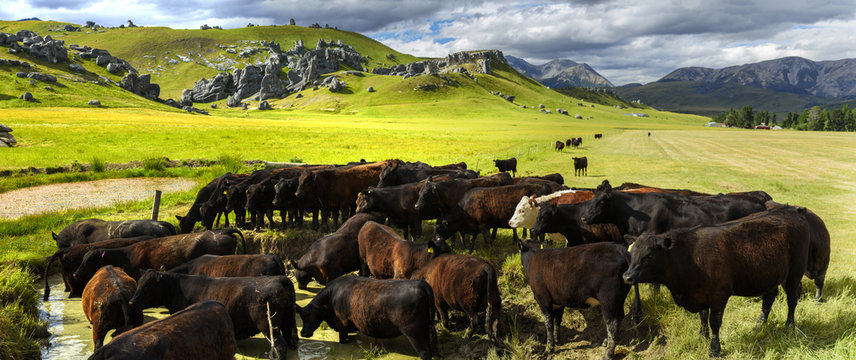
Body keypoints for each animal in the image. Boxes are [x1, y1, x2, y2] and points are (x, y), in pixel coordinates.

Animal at [129, 272, 298, 358]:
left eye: (147, 286)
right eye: (139, 283)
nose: (131, 302)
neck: (177, 287)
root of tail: (280, 278)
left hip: (269, 325)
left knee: (280, 345)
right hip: (288, 323)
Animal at [298, 276, 438, 360]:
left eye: (313, 318)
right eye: (302, 317)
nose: (303, 333)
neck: (332, 295)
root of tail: (420, 283)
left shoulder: (341, 325)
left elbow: (342, 340)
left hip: (413, 331)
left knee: (425, 352)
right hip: (428, 327)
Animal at [620, 205, 808, 358]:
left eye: (649, 256)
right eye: (631, 253)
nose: (627, 276)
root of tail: (791, 209)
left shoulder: (719, 295)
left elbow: (714, 322)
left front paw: (714, 349)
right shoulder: (700, 293)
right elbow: (703, 317)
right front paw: (702, 336)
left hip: (795, 272)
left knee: (792, 299)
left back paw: (789, 326)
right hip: (769, 275)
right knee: (769, 299)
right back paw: (758, 327)